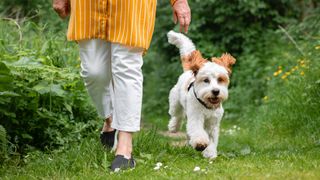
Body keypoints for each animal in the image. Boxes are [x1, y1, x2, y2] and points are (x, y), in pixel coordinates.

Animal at [168, 31, 235, 159]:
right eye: (206, 80)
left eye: (220, 79)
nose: (215, 91)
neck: (207, 106)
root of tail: (188, 72)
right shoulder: (196, 116)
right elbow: (197, 130)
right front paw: (200, 143)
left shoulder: (213, 123)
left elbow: (212, 138)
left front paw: (210, 152)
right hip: (175, 101)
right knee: (177, 114)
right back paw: (174, 126)